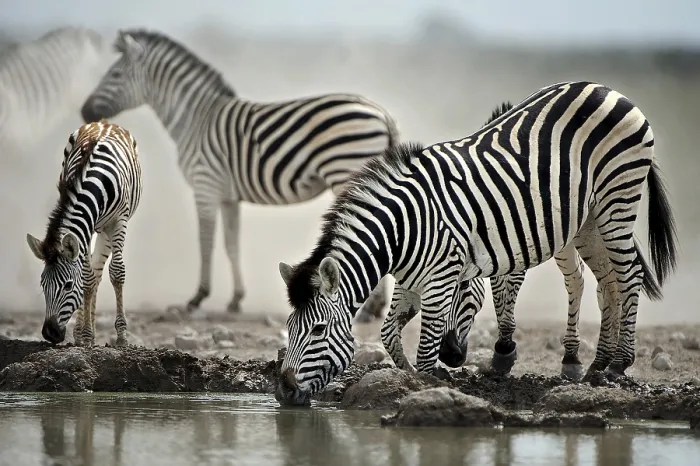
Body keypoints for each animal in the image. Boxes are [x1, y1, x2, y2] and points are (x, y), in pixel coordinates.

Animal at [26, 120, 143, 346]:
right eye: (43, 285)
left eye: (68, 286)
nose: (49, 334)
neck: (97, 180)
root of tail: (104, 122)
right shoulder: (87, 225)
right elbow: (87, 278)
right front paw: (86, 336)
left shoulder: (119, 221)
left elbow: (117, 272)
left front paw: (122, 336)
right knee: (93, 273)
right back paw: (82, 334)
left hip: (107, 229)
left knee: (99, 271)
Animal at [79, 29, 399, 323]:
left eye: (115, 74)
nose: (85, 112)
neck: (196, 119)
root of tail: (381, 111)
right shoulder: (228, 196)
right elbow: (231, 245)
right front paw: (235, 300)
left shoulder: (205, 185)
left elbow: (206, 242)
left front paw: (196, 299)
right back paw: (375, 307)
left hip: (345, 170)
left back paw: (368, 309)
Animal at [275, 81, 678, 406]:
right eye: (290, 328)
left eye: (317, 330)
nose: (284, 392)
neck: (404, 229)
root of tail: (608, 89)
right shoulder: (411, 281)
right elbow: (389, 333)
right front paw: (405, 376)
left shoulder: (440, 280)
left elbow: (426, 347)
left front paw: (425, 386)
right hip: (588, 219)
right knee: (608, 282)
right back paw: (598, 363)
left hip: (617, 198)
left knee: (630, 275)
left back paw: (620, 363)